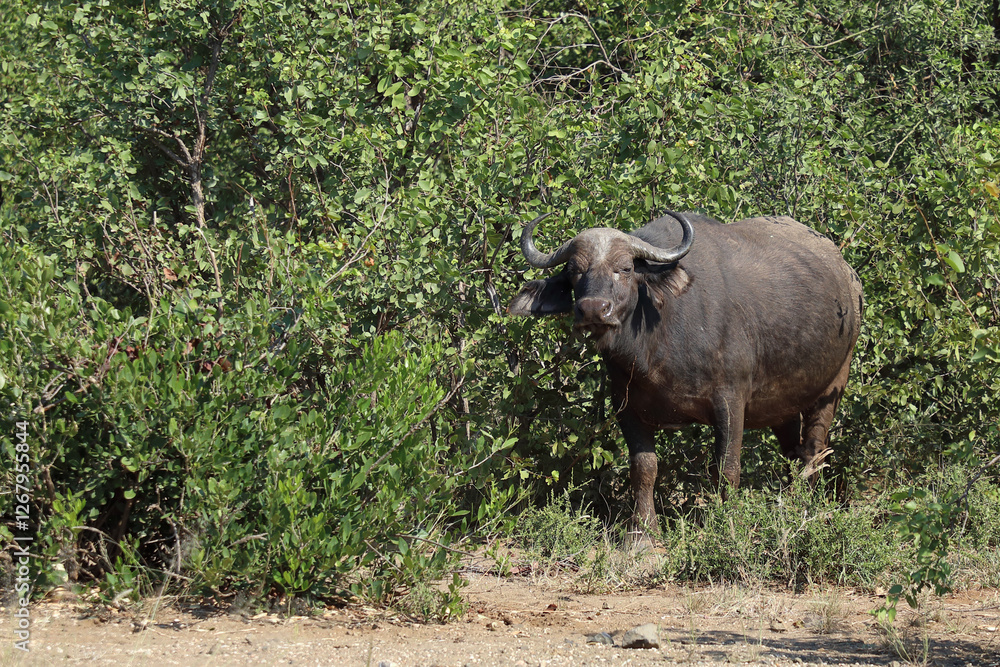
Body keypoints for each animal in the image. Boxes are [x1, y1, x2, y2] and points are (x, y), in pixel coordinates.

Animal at [509, 210, 863, 539]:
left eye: (625, 268)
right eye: (573, 271)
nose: (594, 309)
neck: (656, 338)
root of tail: (849, 277)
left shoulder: (730, 402)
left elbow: (727, 469)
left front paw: (727, 524)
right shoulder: (626, 407)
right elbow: (643, 468)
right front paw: (642, 533)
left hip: (834, 384)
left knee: (814, 450)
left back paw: (805, 506)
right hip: (782, 406)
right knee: (793, 453)